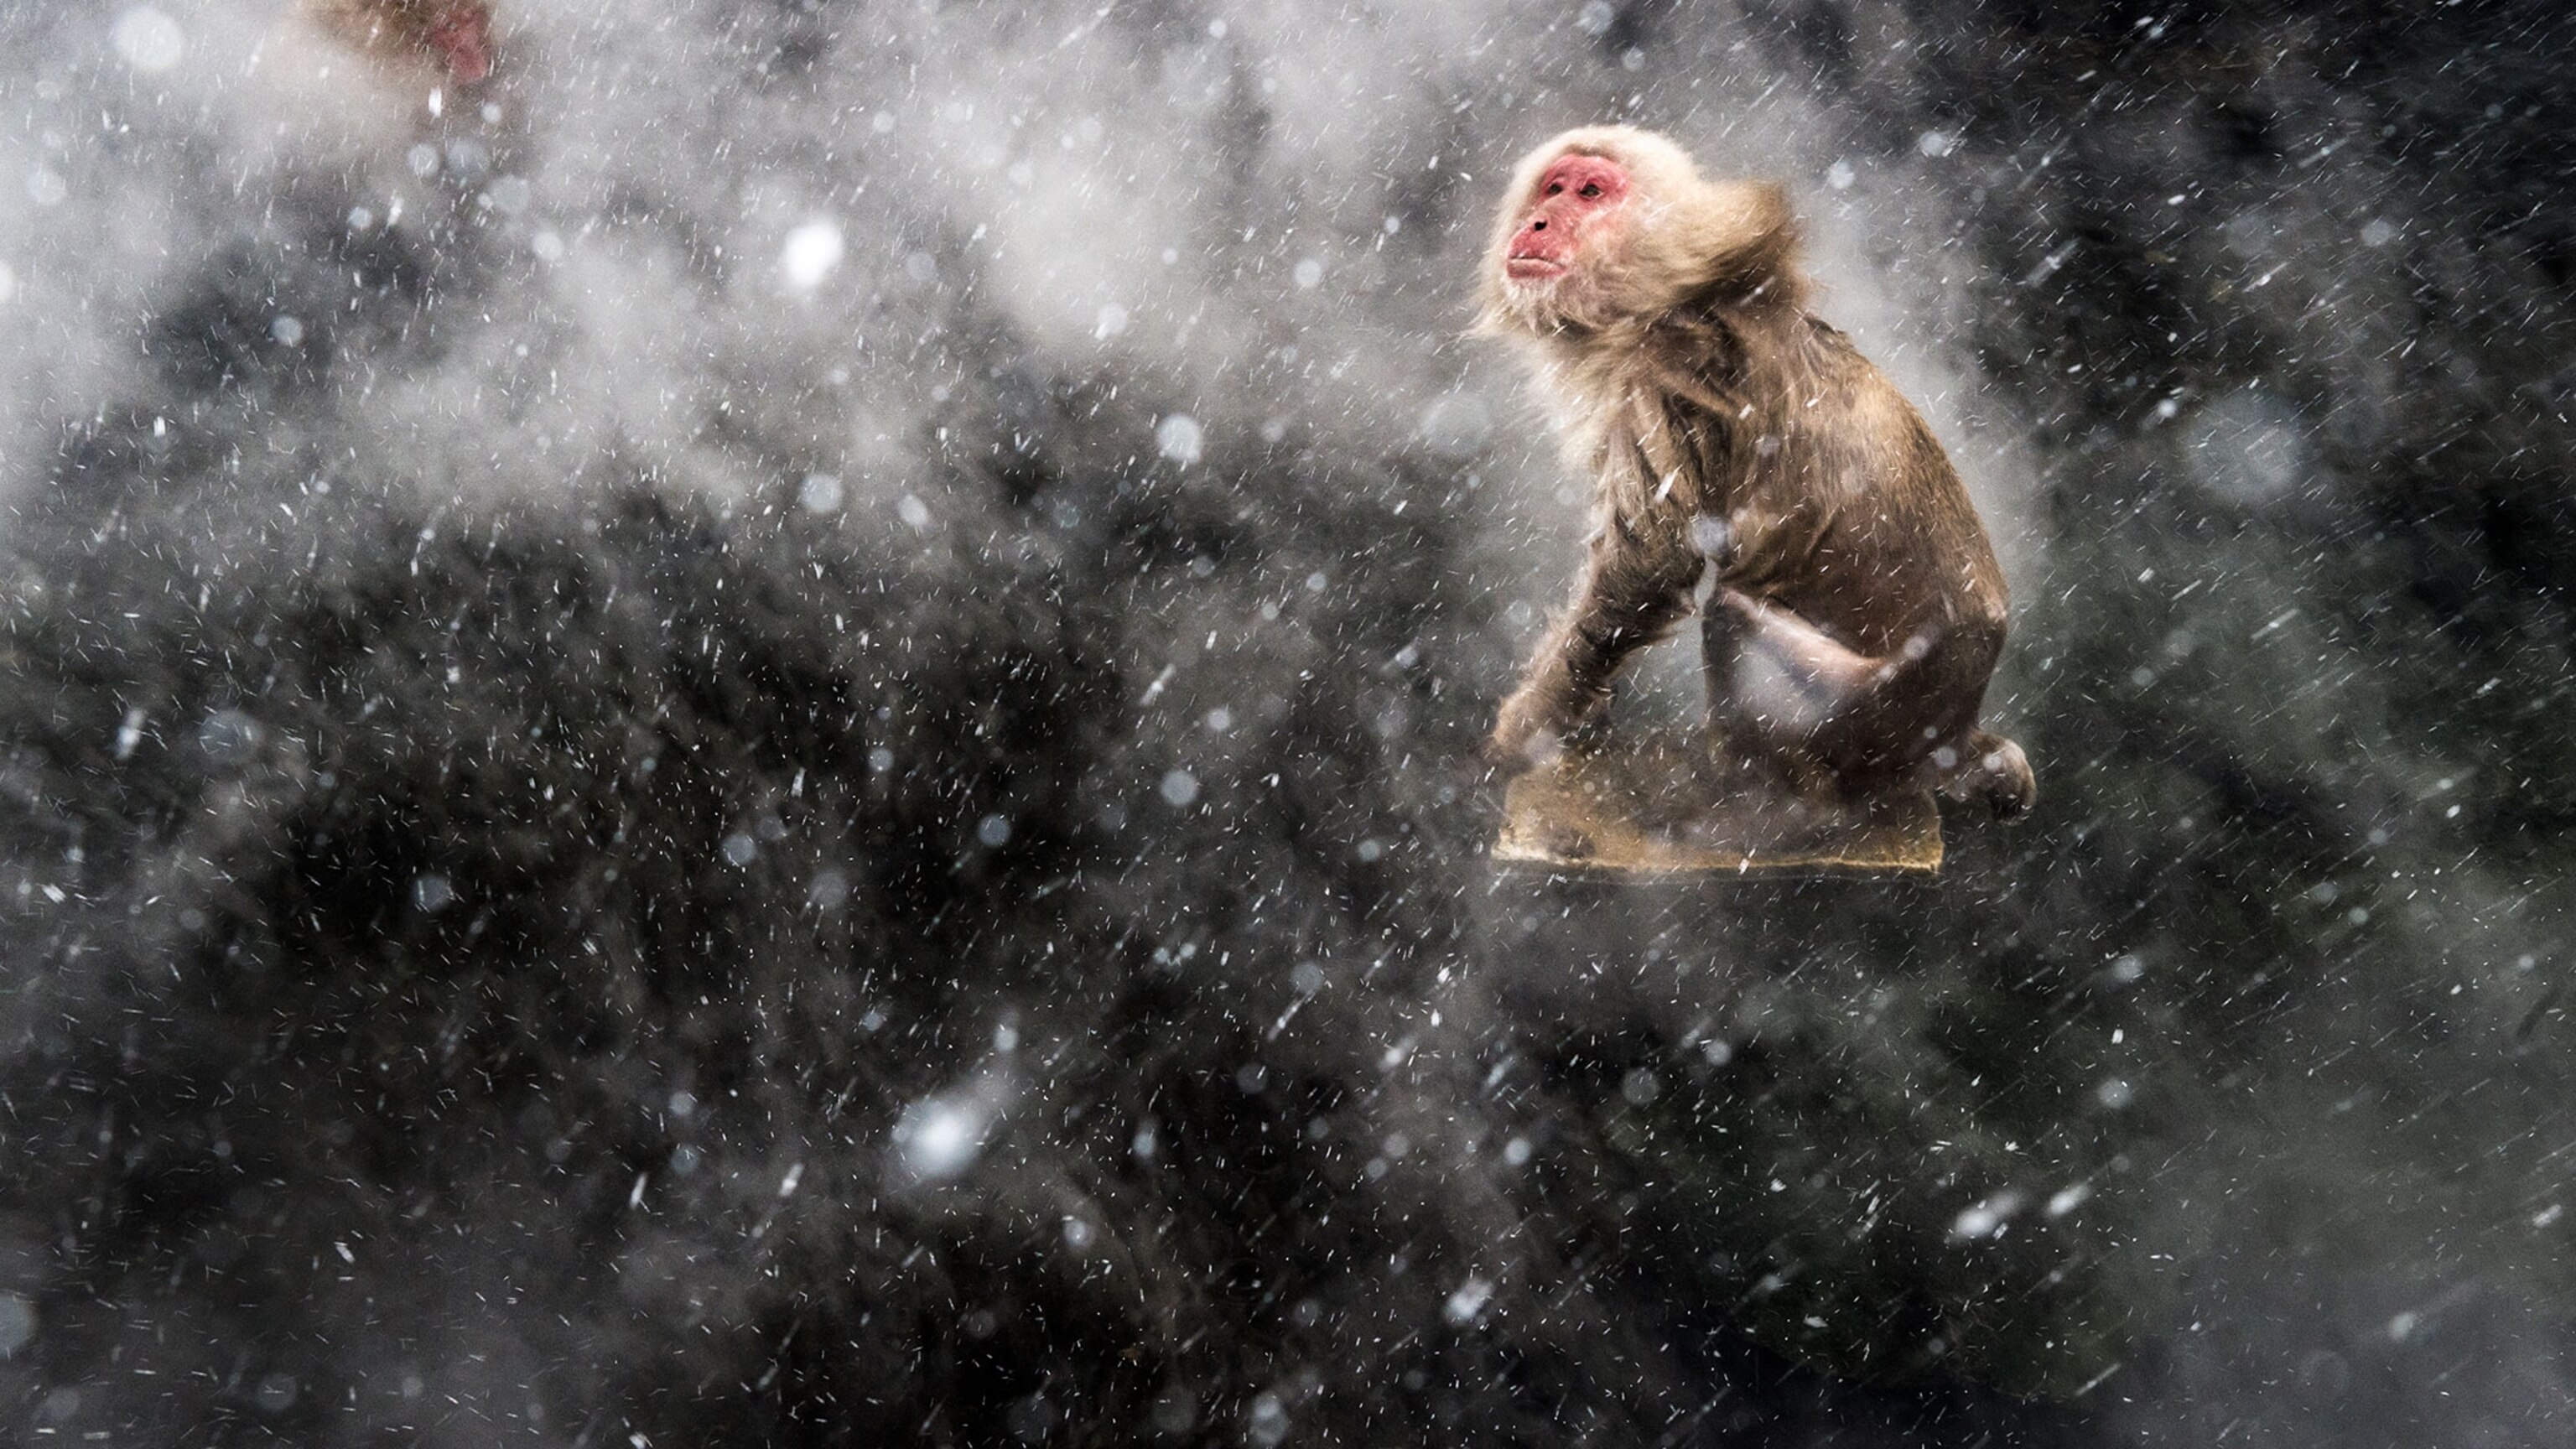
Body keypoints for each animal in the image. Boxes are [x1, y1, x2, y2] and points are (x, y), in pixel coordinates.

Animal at [1476, 125, 2034, 819]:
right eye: (1554, 187)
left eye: (1590, 192)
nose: (1539, 221)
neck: (1678, 288)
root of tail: (1957, 733)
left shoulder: (1669, 367)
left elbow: (1650, 560)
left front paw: (1529, 727)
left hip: (1864, 714)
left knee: (1731, 612)